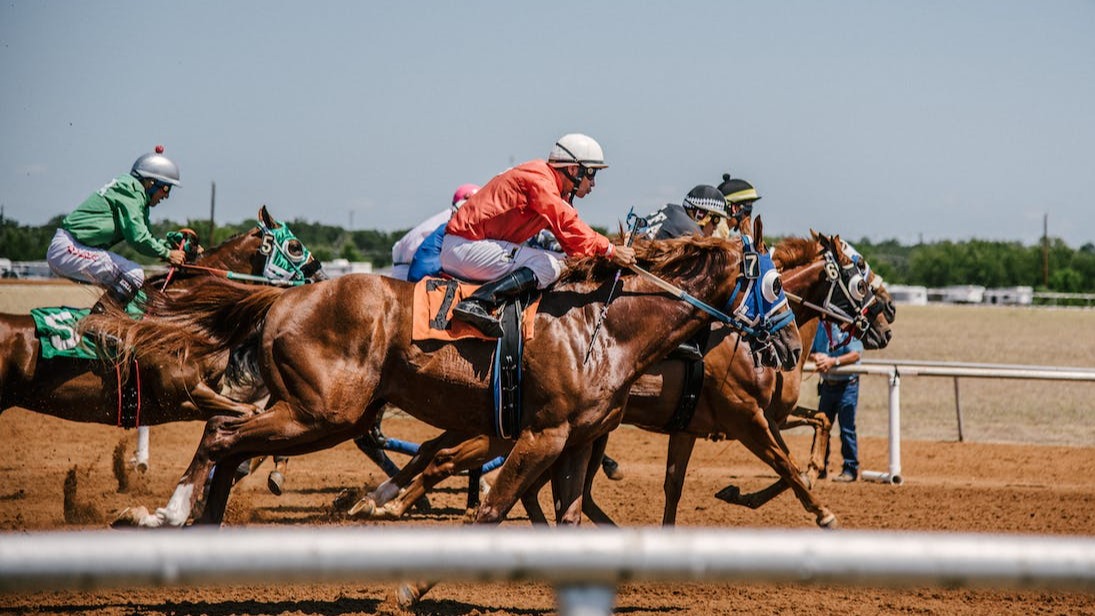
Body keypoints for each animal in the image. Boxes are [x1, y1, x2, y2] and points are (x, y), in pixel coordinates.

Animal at [0, 205, 324, 433]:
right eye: (295, 246)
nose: (320, 275)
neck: (182, 320)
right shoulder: (183, 395)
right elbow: (249, 412)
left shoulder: (211, 391)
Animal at [91, 226, 802, 531]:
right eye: (774, 286)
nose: (794, 348)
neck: (604, 328)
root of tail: (286, 296)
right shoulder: (541, 434)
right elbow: (492, 503)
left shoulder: (573, 441)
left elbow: (566, 514)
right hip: (323, 412)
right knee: (221, 435)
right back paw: (169, 511)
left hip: (322, 412)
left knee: (231, 437)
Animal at [347, 230, 895, 528]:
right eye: (860, 276)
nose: (888, 320)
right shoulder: (744, 416)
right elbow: (787, 465)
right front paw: (819, 509)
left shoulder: (701, 424)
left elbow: (680, 483)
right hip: (512, 425)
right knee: (450, 459)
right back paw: (387, 503)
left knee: (448, 456)